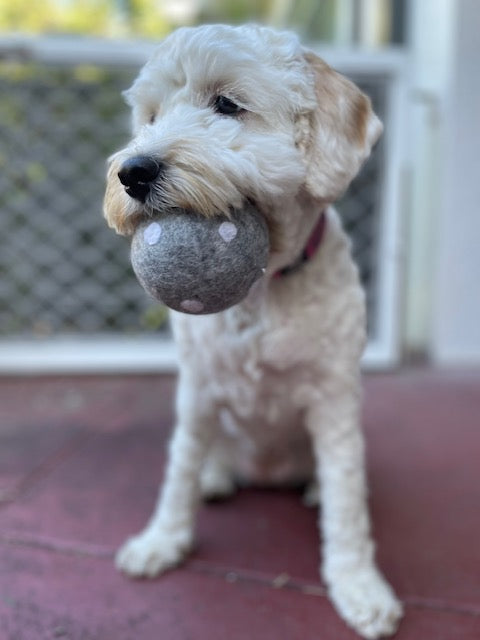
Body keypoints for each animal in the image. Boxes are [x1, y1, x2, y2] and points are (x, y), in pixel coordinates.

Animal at [103, 22, 404, 636]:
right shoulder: (197, 391)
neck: (261, 293)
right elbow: (178, 471)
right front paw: (162, 540)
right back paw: (216, 476)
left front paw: (358, 585)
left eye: (227, 104)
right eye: (150, 116)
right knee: (207, 456)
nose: (133, 172)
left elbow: (347, 499)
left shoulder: (334, 401)